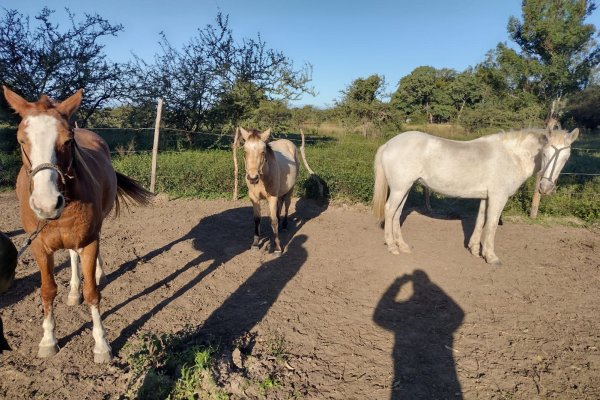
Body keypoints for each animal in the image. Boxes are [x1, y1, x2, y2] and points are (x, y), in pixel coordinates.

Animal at [3, 87, 154, 362]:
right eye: (21, 141)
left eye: (67, 141)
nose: (47, 204)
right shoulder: (39, 248)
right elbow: (47, 291)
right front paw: (48, 340)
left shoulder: (89, 240)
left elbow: (93, 293)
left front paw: (101, 345)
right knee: (72, 255)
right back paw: (73, 292)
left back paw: (99, 273)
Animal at [240, 126, 298, 255]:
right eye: (245, 152)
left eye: (263, 152)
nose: (252, 178)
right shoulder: (254, 198)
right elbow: (257, 219)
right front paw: (255, 244)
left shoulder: (272, 197)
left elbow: (273, 221)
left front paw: (277, 248)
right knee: (280, 205)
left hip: (290, 190)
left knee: (286, 205)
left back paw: (284, 225)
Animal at [372, 129, 580, 266]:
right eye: (544, 153)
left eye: (567, 157)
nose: (545, 188)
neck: (510, 156)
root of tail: (389, 143)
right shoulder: (498, 196)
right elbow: (492, 224)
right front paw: (491, 256)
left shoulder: (486, 197)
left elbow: (480, 221)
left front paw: (474, 250)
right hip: (400, 188)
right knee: (390, 210)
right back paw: (392, 246)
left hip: (405, 188)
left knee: (397, 213)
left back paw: (403, 245)